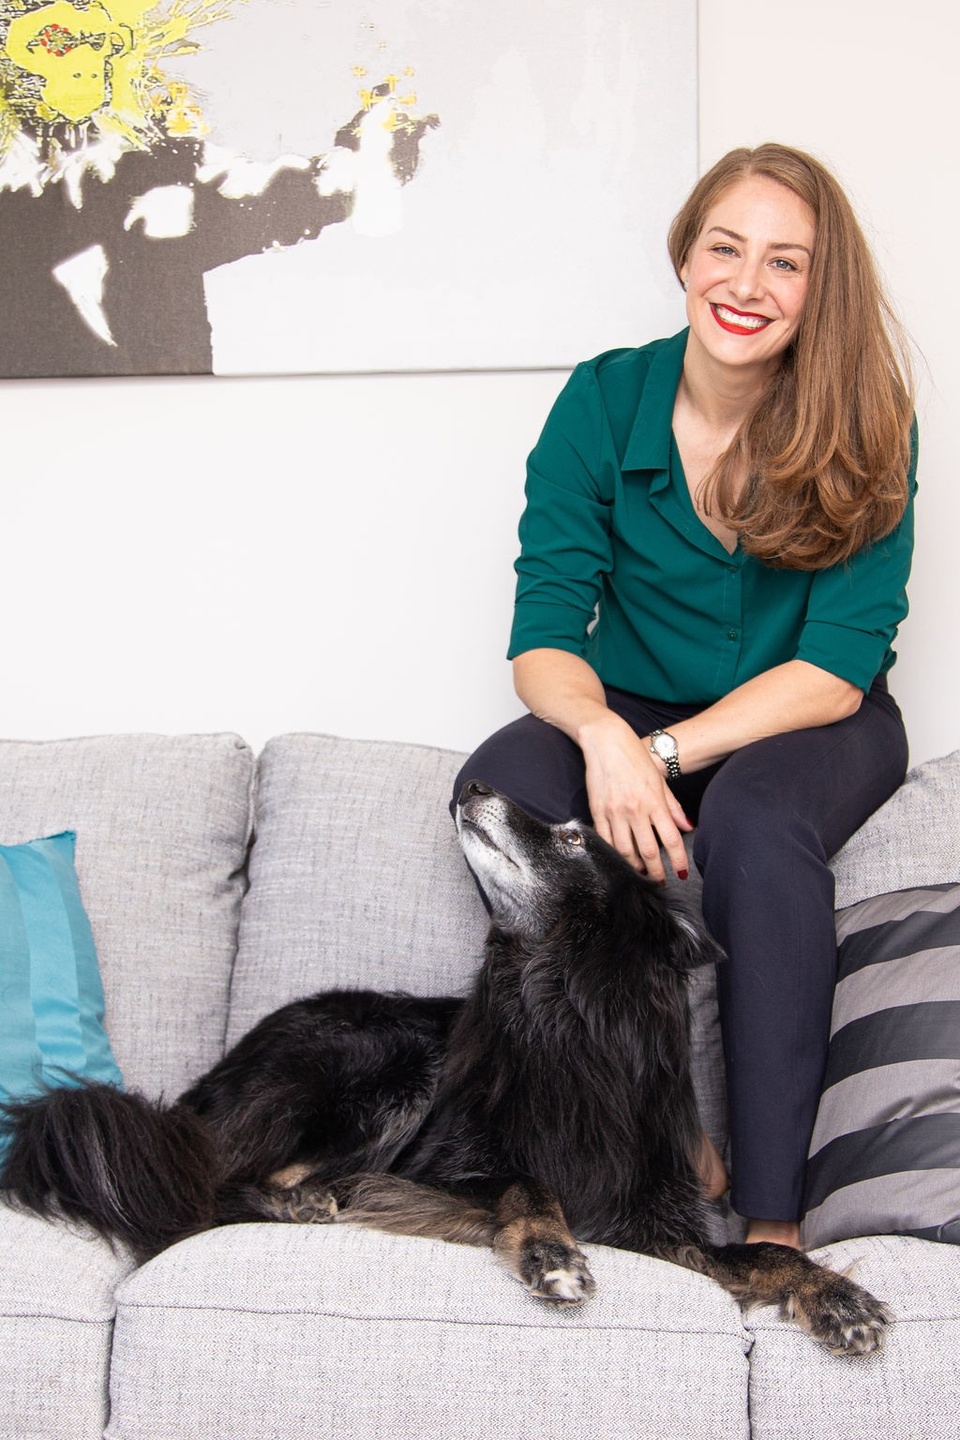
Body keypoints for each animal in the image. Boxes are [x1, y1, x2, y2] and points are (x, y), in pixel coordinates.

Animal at [0, 781, 890, 1354]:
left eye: (575, 836)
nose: (478, 786)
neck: (560, 1018)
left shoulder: (655, 1226)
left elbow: (768, 1257)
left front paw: (839, 1298)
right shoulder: (440, 1172)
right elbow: (527, 1185)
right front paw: (553, 1256)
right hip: (387, 1066)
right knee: (211, 1185)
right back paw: (300, 1202)